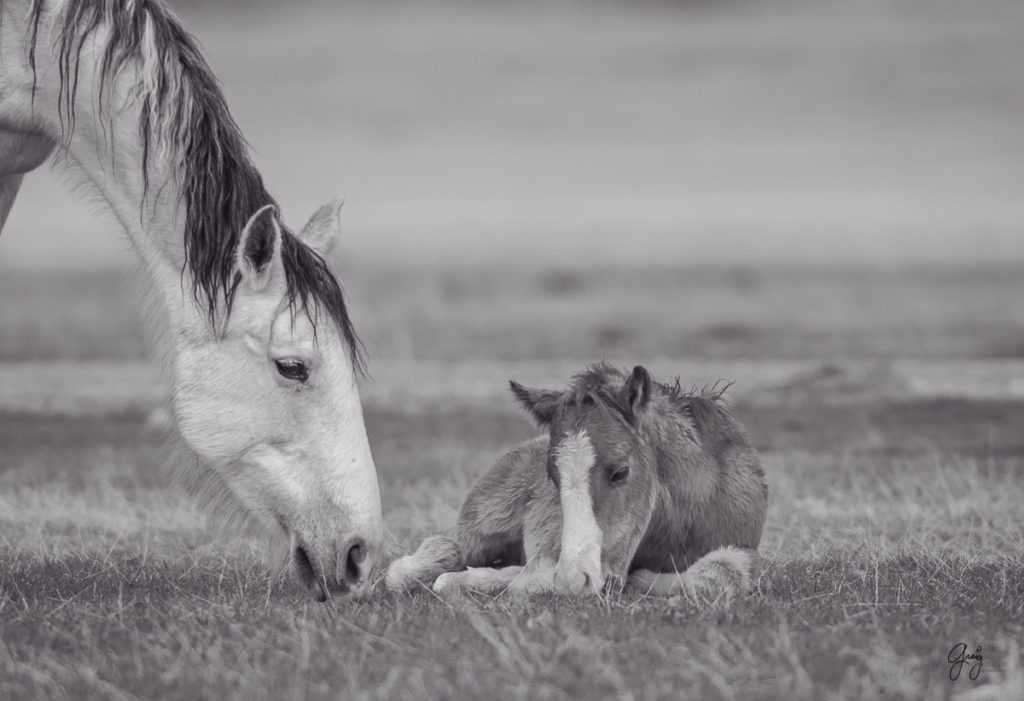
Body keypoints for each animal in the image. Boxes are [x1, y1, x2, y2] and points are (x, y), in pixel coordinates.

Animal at [385, 364, 770, 597]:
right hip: (485, 525)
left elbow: (719, 574)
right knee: (441, 550)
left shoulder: (744, 548)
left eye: (621, 471)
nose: (575, 579)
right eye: (552, 476)